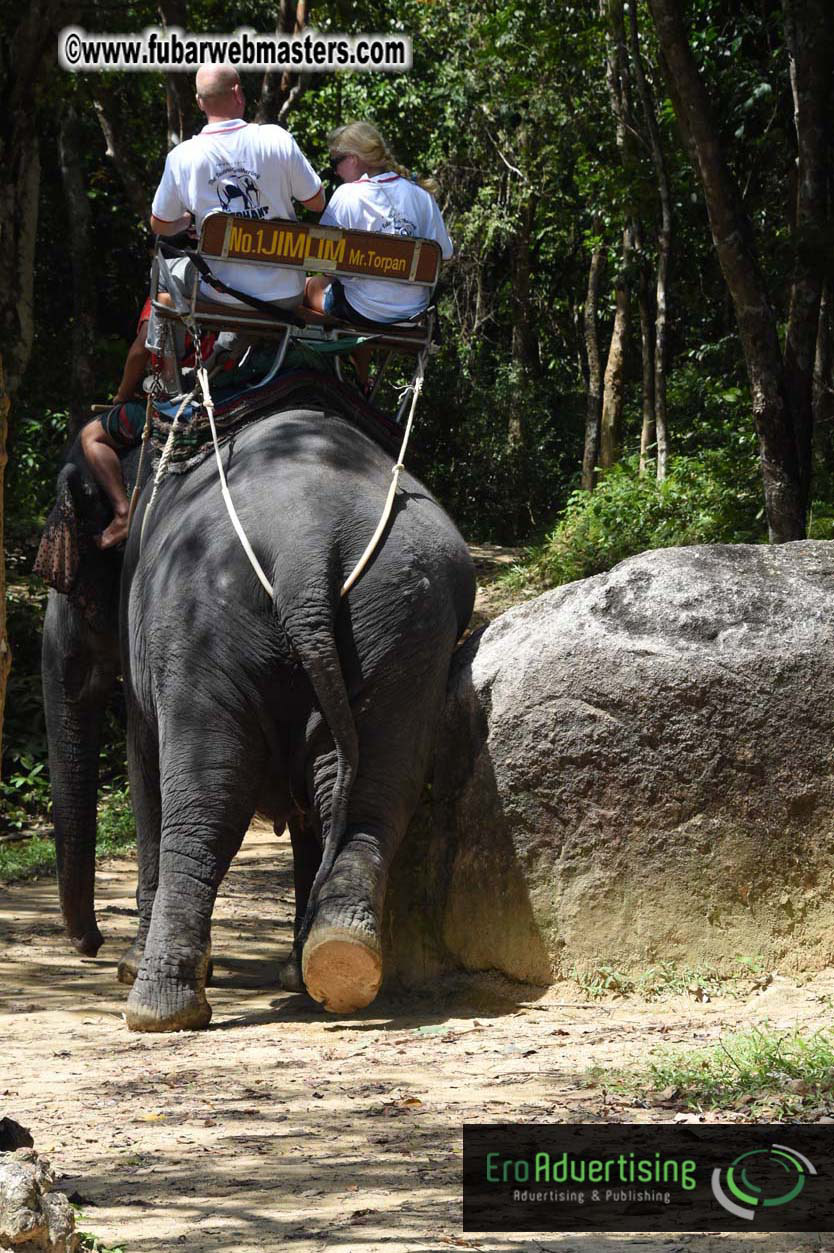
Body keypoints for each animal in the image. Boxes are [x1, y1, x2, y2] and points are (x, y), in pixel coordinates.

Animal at [40, 392, 475, 1031]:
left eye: (73, 583)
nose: (89, 944)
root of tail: (307, 545)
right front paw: (297, 970)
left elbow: (145, 766)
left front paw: (128, 964)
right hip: (405, 617)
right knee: (368, 790)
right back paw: (338, 959)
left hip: (205, 621)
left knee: (206, 803)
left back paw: (158, 1008)